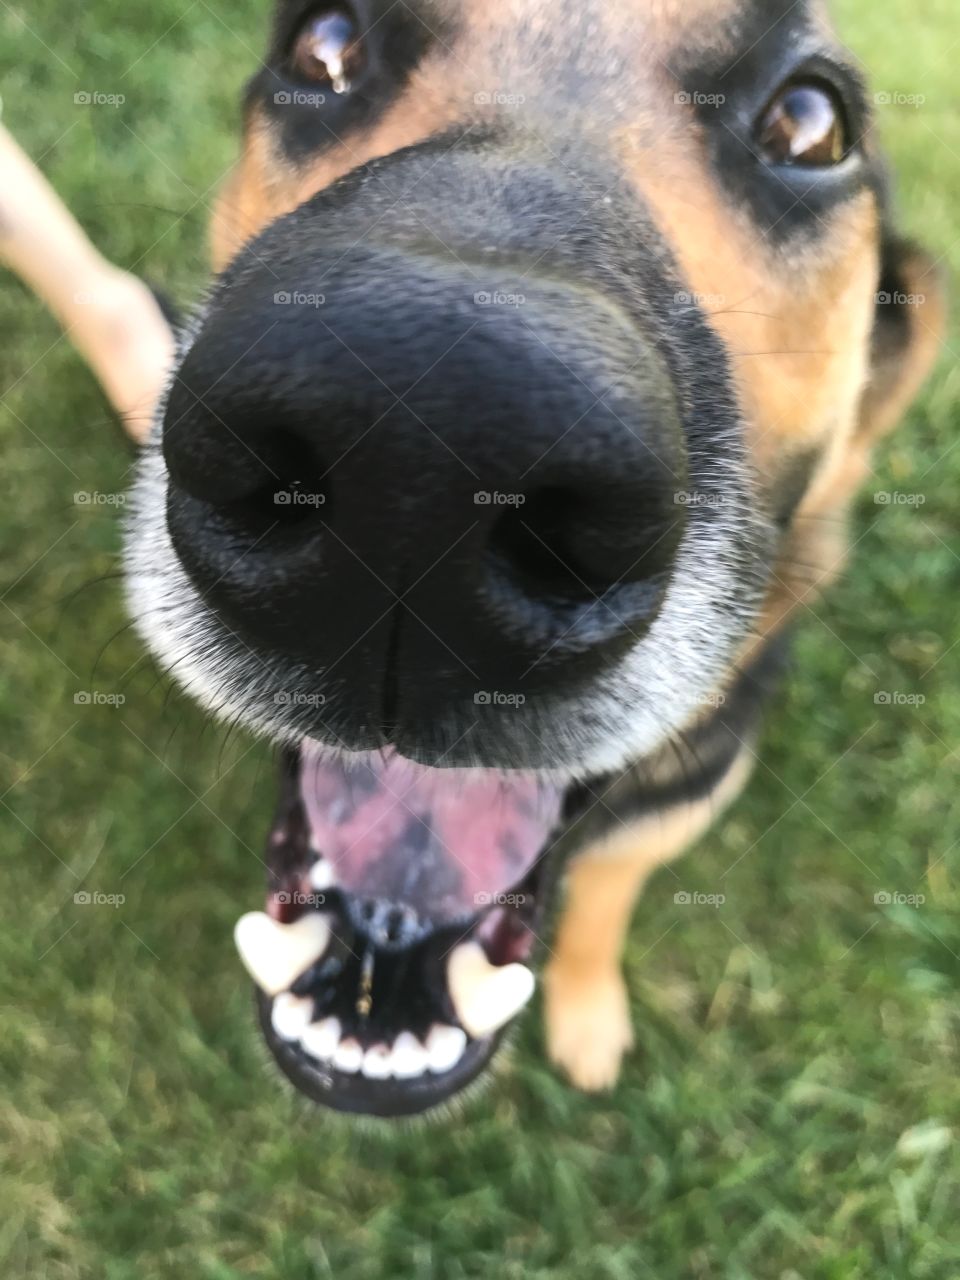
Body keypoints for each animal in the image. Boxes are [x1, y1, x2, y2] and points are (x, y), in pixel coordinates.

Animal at [120, 0, 947, 1116]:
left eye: (811, 125)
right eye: (324, 44)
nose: (415, 466)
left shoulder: (677, 807)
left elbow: (603, 896)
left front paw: (589, 1007)